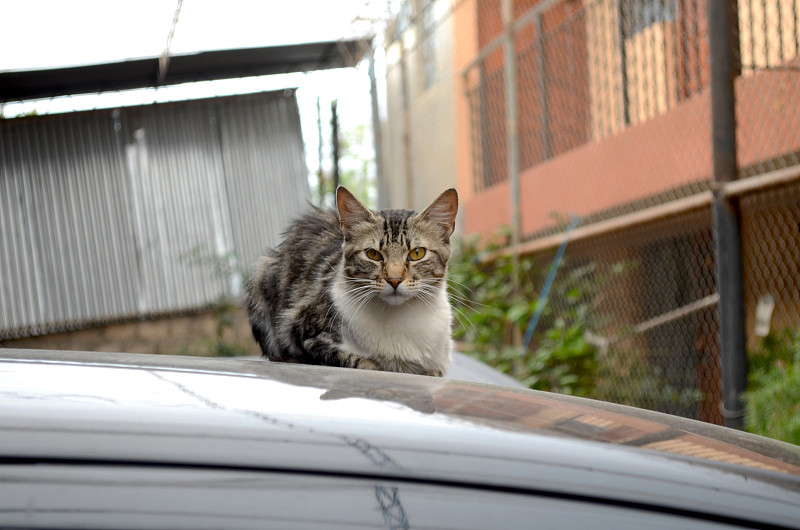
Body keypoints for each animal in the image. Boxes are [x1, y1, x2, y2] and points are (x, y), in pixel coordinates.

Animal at [244, 186, 460, 376]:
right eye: (373, 254)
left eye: (417, 253)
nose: (394, 279)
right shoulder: (307, 334)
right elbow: (361, 362)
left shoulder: (438, 365)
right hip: (261, 277)